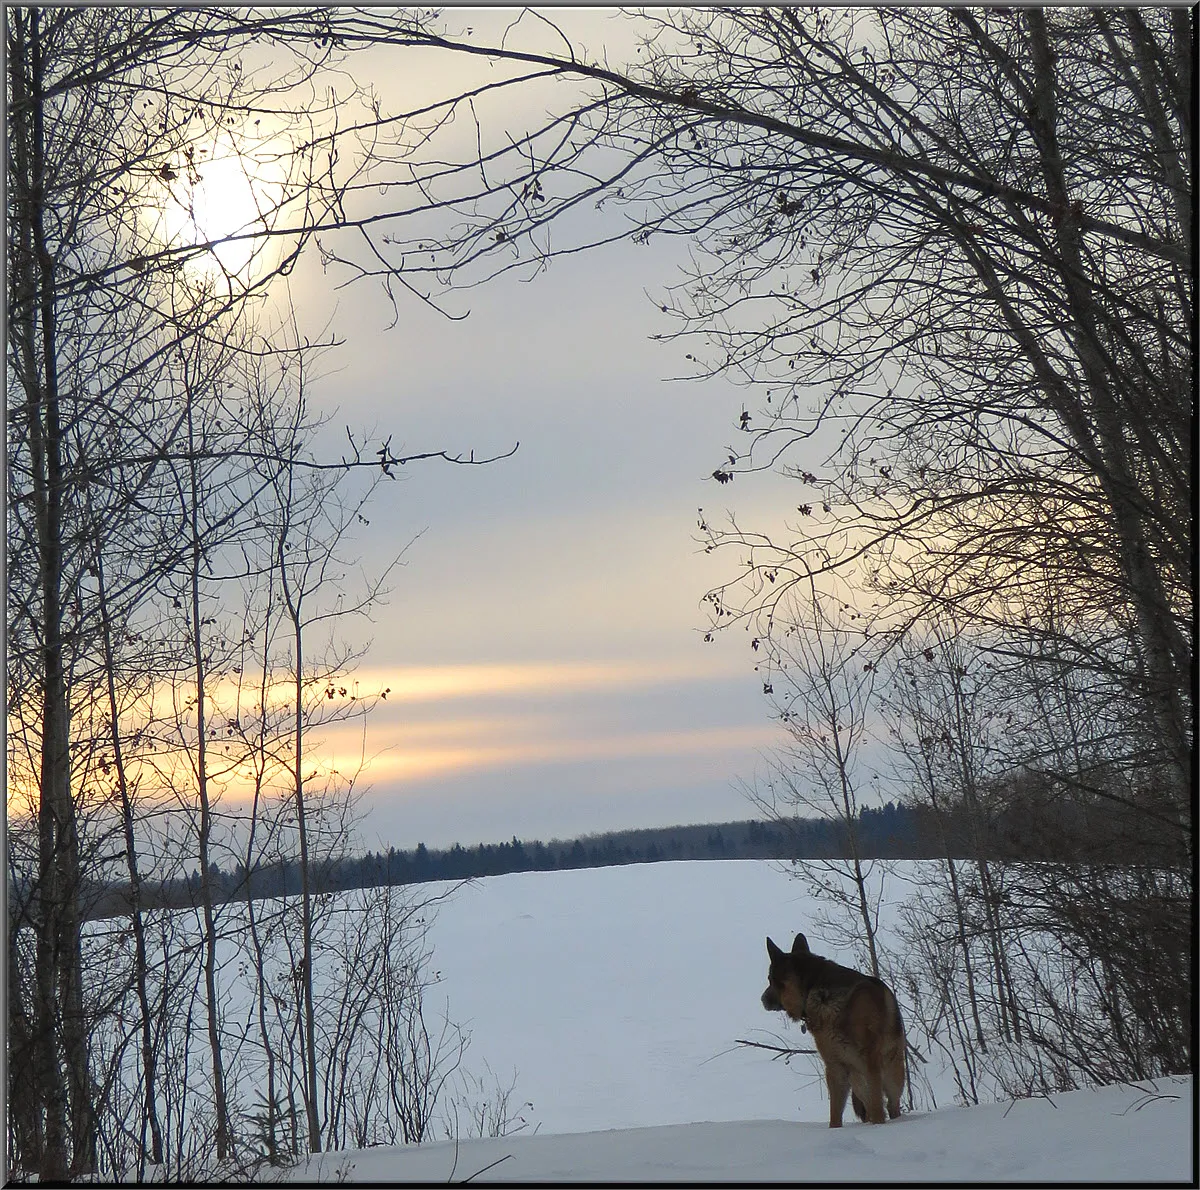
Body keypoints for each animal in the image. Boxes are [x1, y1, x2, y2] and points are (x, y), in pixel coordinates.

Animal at [763, 940, 902, 1122]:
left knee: (891, 1105)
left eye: (770, 979)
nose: (762, 999)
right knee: (871, 1106)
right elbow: (835, 1115)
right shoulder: (834, 1066)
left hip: (892, 1074)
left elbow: (878, 1106)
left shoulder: (870, 1062)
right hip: (857, 1079)